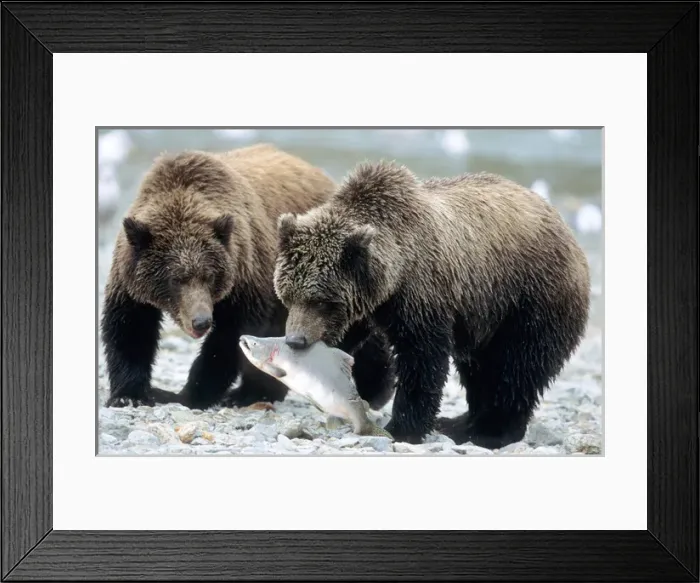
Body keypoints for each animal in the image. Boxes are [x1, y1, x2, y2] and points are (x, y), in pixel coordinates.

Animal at [100, 144, 396, 411]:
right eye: (175, 278)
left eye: (209, 276)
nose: (201, 321)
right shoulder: (129, 279)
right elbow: (130, 329)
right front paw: (130, 394)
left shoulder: (246, 273)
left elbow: (228, 337)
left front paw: (188, 394)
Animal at [272, 160, 590, 447]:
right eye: (287, 294)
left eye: (320, 301)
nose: (296, 339)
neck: (393, 277)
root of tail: (567, 231)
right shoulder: (366, 307)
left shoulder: (423, 293)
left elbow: (422, 359)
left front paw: (403, 428)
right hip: (487, 317)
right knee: (479, 369)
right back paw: (461, 422)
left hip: (530, 299)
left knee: (518, 367)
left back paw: (491, 431)